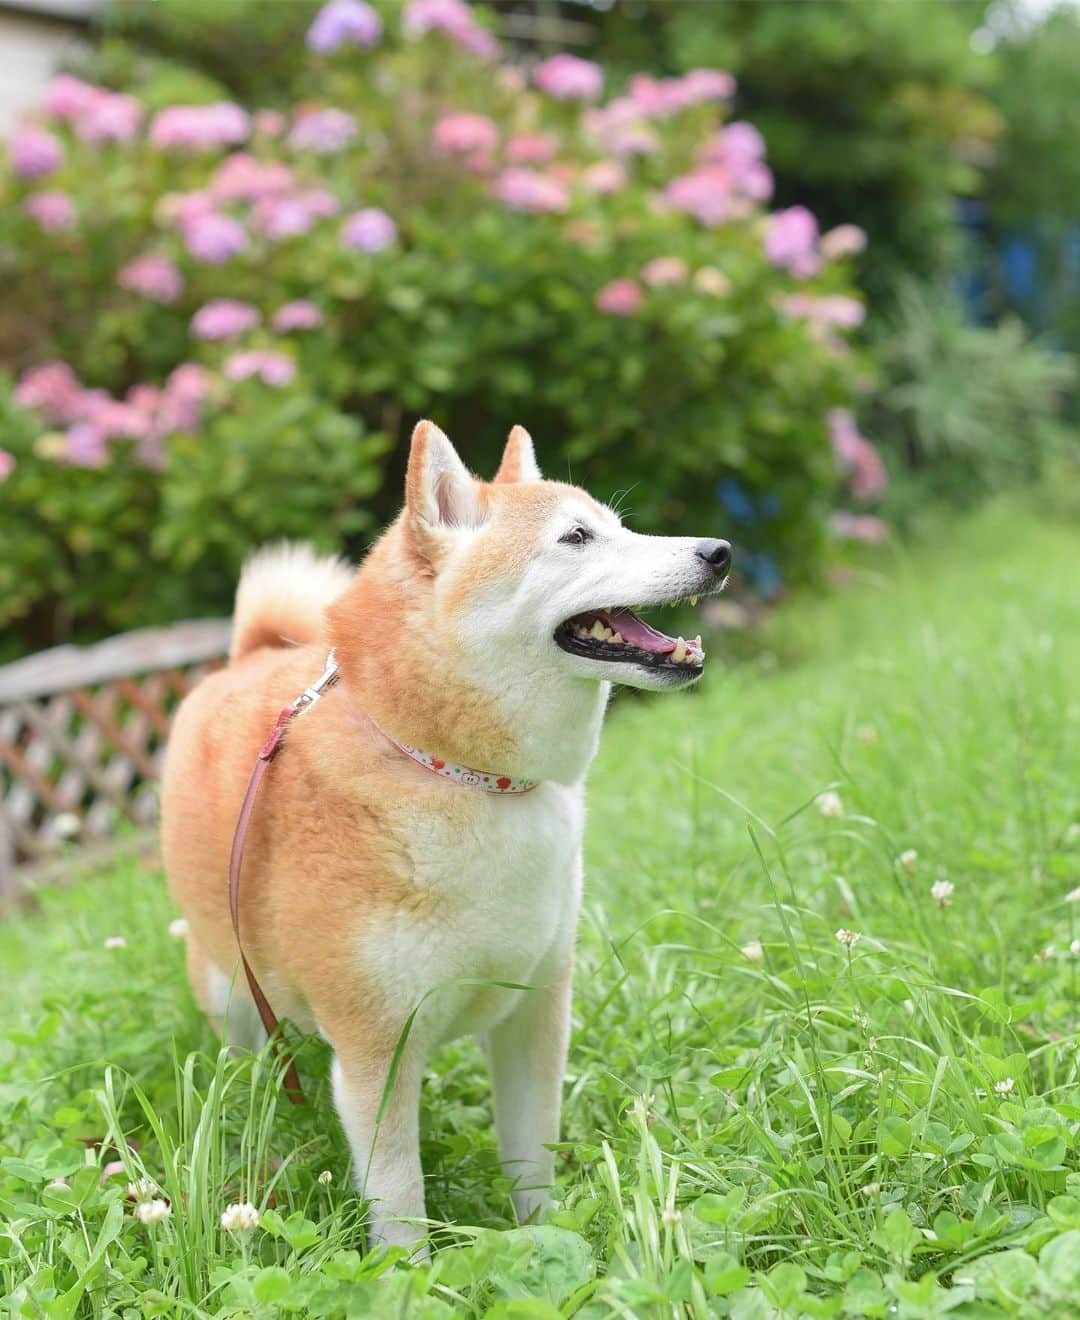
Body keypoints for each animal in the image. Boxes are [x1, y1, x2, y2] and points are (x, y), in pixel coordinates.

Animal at [161, 419, 734, 1246]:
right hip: (233, 991)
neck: (458, 774)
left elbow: (532, 1157)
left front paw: (544, 1237)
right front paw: (411, 1271)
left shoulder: (535, 1015)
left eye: (618, 526)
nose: (719, 551)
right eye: (576, 537)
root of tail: (247, 657)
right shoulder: (375, 1051)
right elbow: (400, 1200)